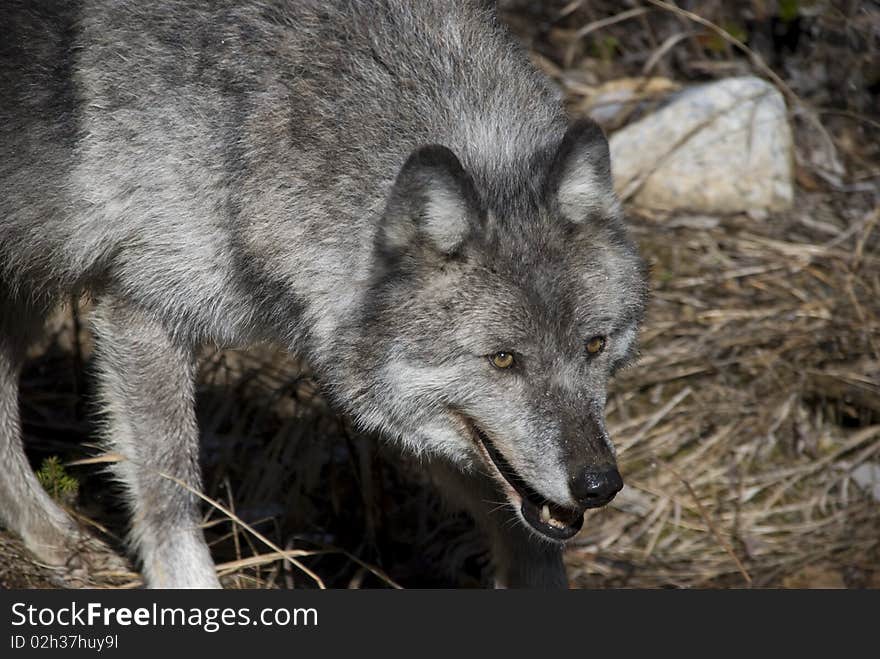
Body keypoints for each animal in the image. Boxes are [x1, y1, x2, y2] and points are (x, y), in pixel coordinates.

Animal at [0, 0, 648, 588]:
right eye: (504, 359)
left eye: (595, 346)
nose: (599, 484)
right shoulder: (143, 313)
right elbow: (170, 493)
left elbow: (527, 537)